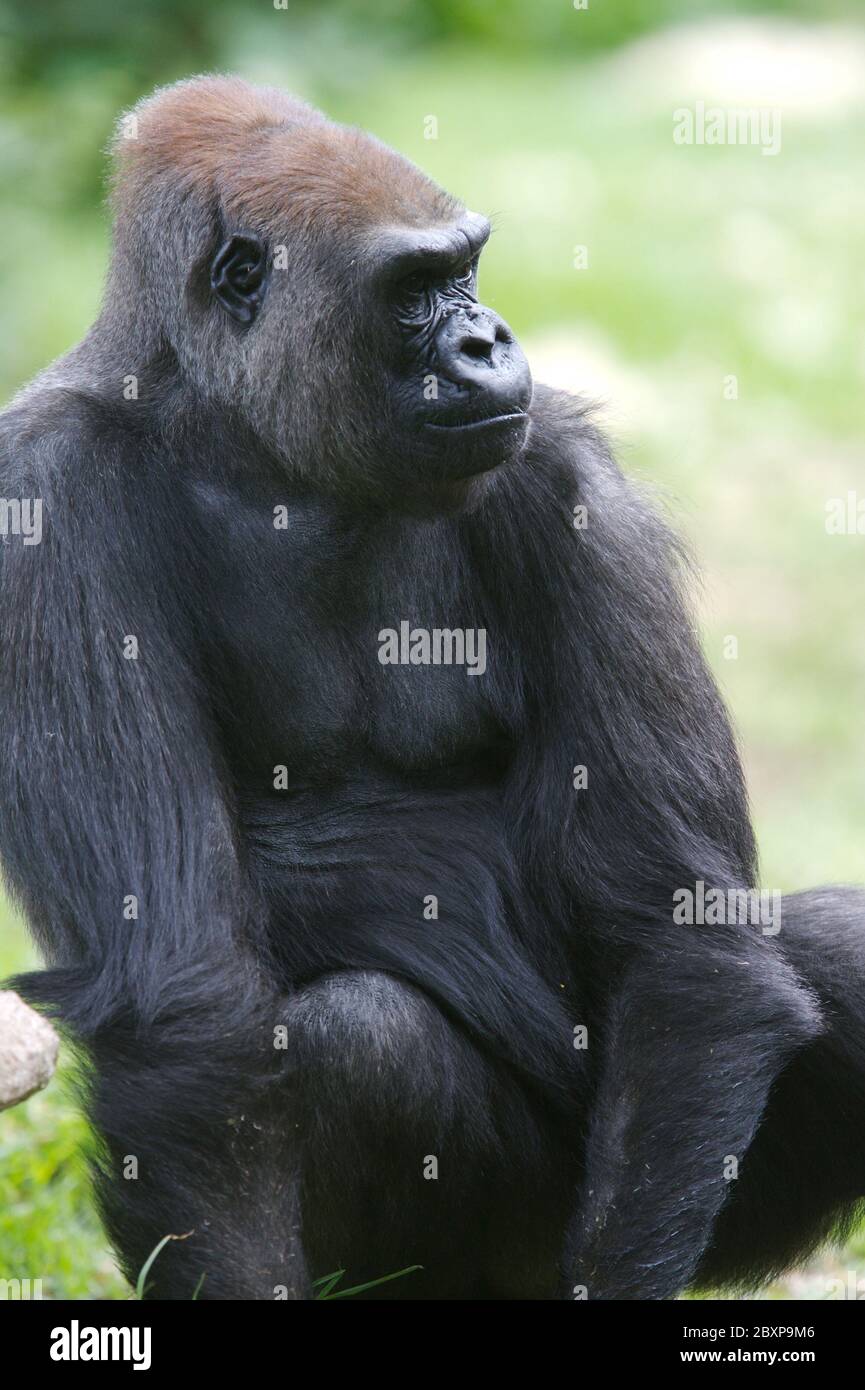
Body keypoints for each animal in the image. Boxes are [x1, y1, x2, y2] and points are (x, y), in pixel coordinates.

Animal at [1, 73, 865, 1289]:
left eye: (468, 270)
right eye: (414, 291)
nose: (487, 339)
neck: (242, 439)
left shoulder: (563, 474)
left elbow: (681, 938)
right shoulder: (42, 502)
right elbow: (185, 1002)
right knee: (362, 1039)